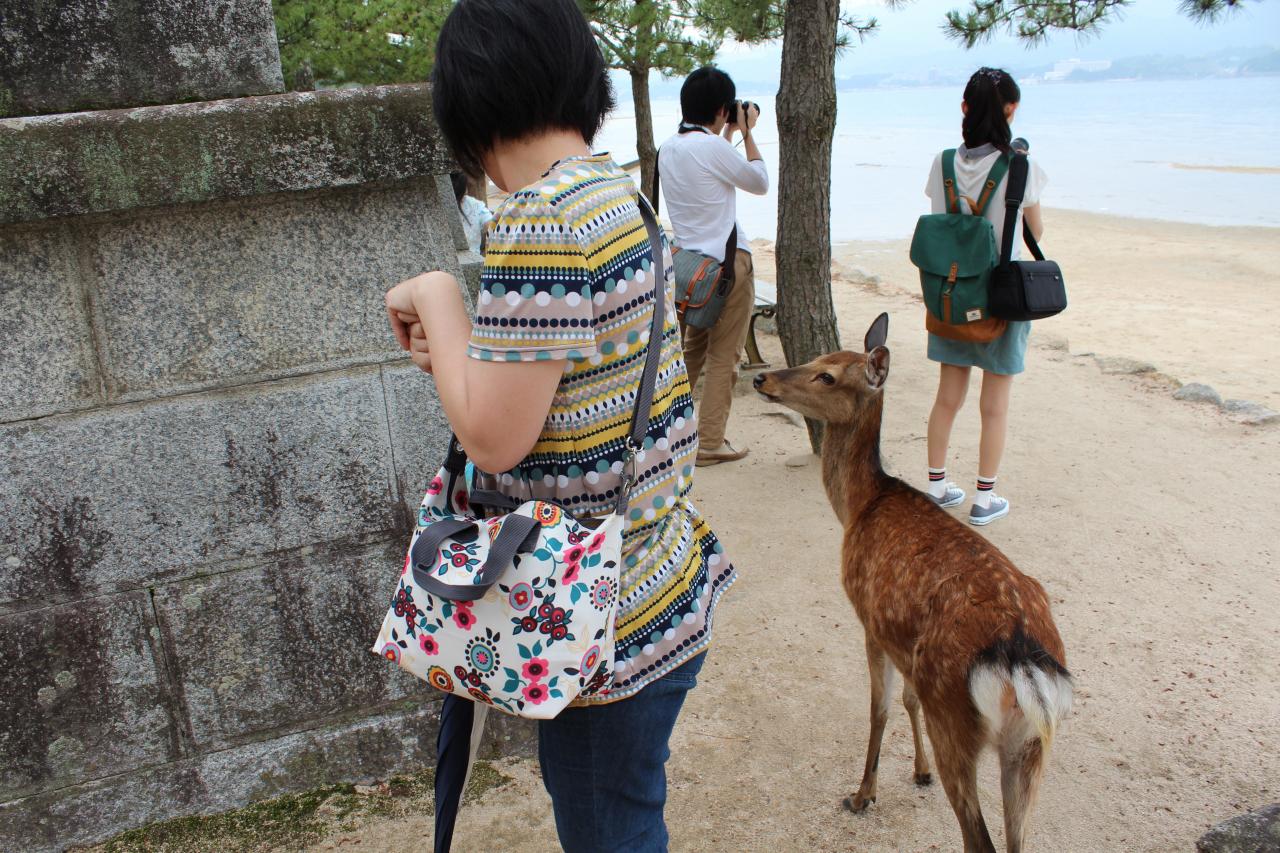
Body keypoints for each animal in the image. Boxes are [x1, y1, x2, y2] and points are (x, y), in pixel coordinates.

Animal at [753, 313, 1072, 853]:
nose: (762, 378)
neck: (858, 506)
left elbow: (879, 708)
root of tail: (1022, 661)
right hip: (1031, 746)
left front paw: (862, 795)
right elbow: (906, 698)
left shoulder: (869, 616)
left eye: (827, 376)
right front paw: (917, 773)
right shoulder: (902, 638)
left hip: (955, 713)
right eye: (817, 358)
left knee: (978, 838)